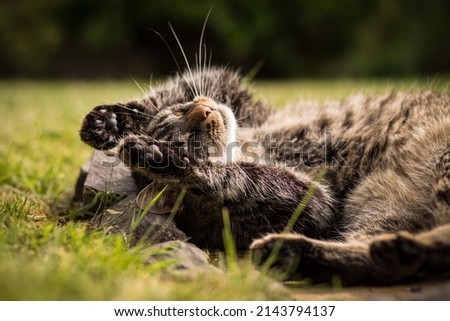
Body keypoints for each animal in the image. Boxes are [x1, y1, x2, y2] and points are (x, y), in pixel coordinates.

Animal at [81, 67, 450, 284]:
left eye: (184, 111)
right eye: (189, 139)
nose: (204, 109)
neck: (250, 142)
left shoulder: (241, 97)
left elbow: (173, 91)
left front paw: (108, 123)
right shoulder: (314, 201)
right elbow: (234, 176)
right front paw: (162, 157)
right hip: (388, 205)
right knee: (403, 260)